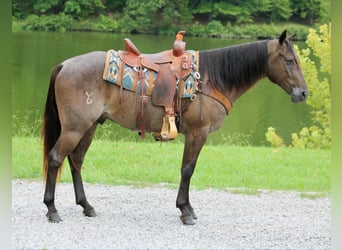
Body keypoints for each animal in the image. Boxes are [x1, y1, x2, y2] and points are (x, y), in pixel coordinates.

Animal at [42, 30, 308, 226]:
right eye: (289, 60)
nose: (304, 93)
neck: (209, 79)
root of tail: (64, 65)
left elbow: (188, 169)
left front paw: (188, 208)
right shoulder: (197, 133)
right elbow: (187, 169)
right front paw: (185, 211)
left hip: (88, 127)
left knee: (75, 160)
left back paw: (86, 206)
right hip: (75, 128)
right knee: (56, 158)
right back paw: (52, 209)